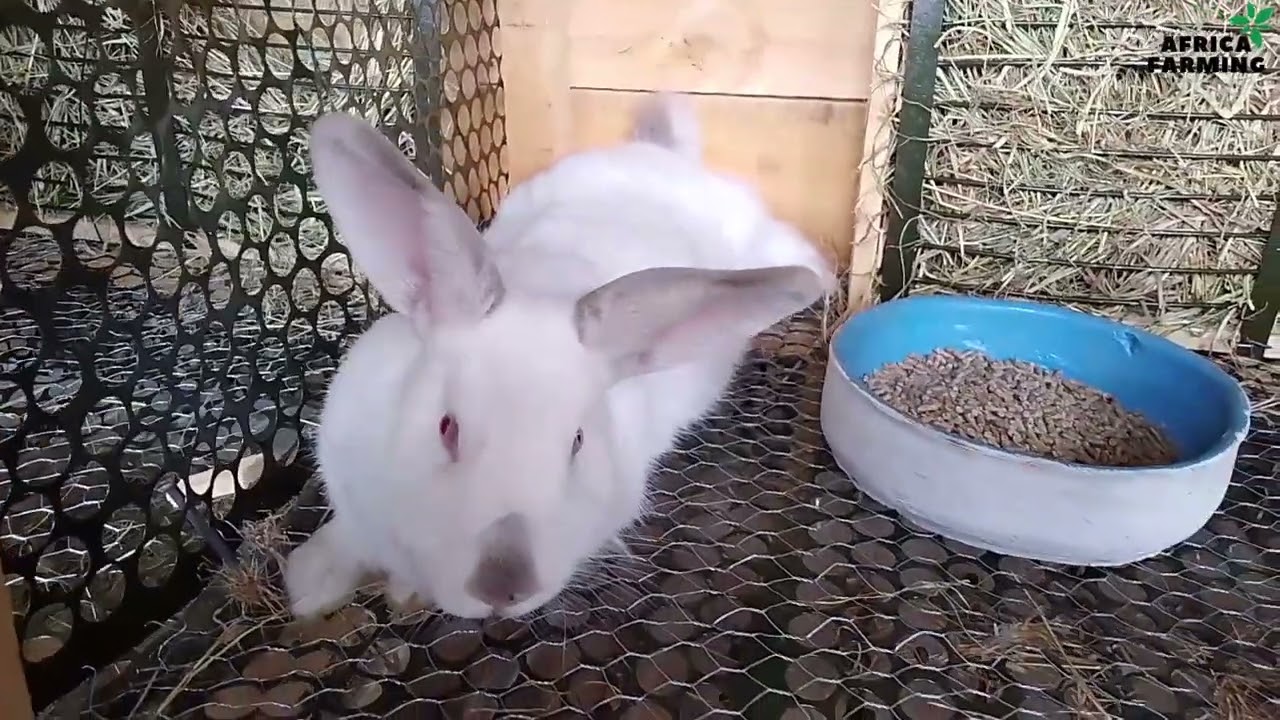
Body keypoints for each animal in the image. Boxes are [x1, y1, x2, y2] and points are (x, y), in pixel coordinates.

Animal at [283, 91, 836, 621]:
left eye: (577, 442)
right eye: (446, 428)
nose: (502, 586)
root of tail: (665, 156)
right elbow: (349, 533)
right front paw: (310, 584)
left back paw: (823, 279)